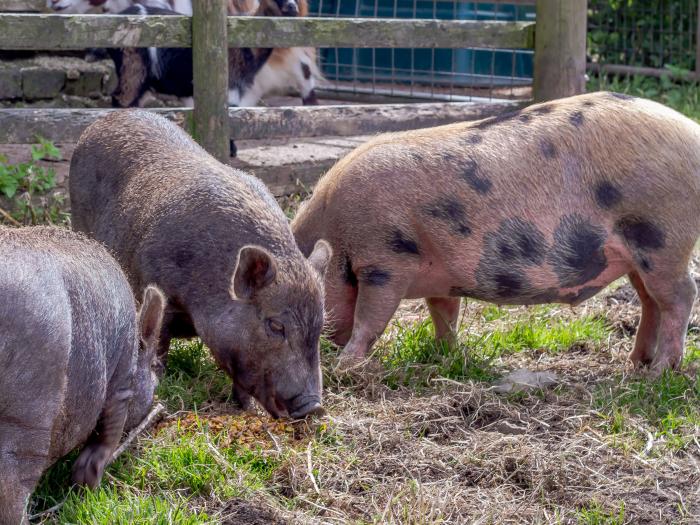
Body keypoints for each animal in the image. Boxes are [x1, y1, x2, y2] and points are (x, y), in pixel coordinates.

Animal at [69, 109, 332, 418]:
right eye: (276, 325)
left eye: (320, 327)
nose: (315, 406)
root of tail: (106, 118)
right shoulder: (159, 287)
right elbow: (160, 341)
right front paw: (161, 380)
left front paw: (246, 409)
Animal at [292, 93, 700, 372]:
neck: (335, 230)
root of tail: (692, 132)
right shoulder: (439, 275)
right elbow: (444, 313)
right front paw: (446, 354)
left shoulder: (385, 260)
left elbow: (370, 318)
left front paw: (346, 366)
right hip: (640, 254)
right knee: (650, 301)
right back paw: (635, 363)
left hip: (661, 236)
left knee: (680, 295)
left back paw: (659, 372)